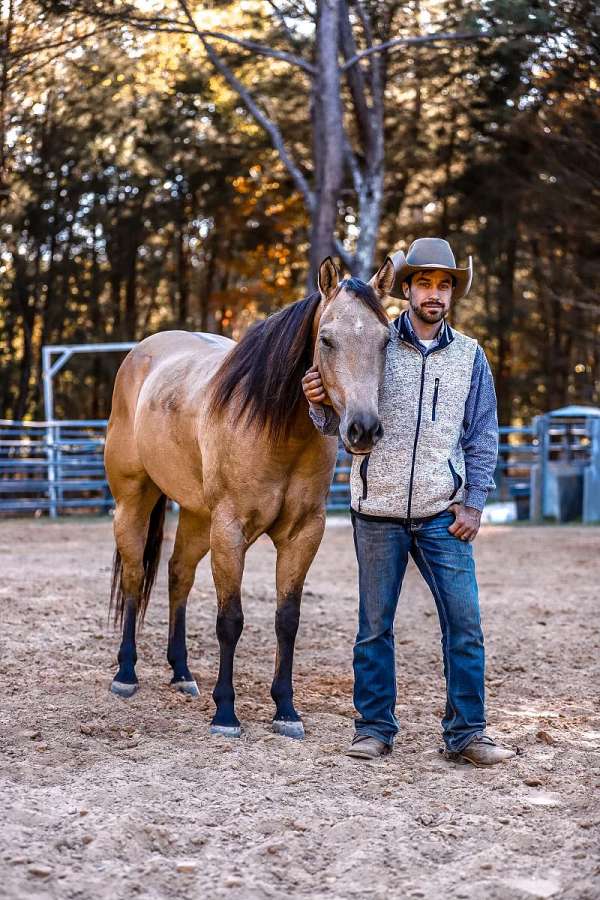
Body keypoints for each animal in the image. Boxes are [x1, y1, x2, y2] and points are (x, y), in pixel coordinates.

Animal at [104, 253, 394, 740]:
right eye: (327, 340)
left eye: (387, 340)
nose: (363, 428)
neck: (276, 428)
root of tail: (140, 355)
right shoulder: (230, 530)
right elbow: (230, 620)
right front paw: (226, 712)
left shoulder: (303, 534)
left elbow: (287, 620)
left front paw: (286, 710)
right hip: (134, 500)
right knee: (132, 577)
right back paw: (126, 674)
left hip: (197, 517)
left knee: (178, 574)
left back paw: (181, 673)